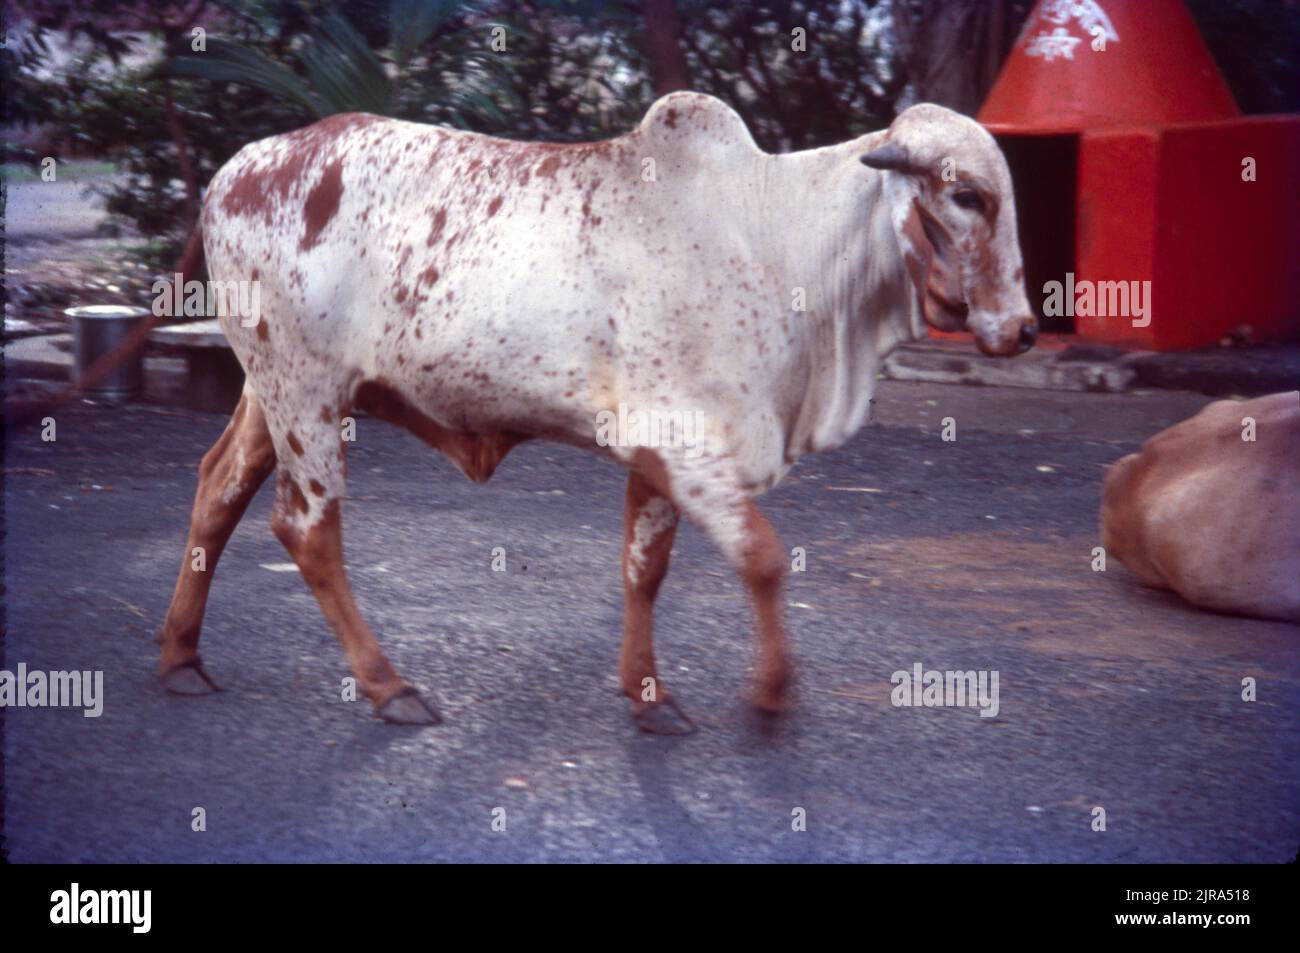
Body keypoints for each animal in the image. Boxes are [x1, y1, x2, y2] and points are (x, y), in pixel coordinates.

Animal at [159, 91, 1034, 728]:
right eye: (966, 196)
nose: (1024, 328)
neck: (778, 240)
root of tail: (239, 167)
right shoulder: (686, 446)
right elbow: (762, 557)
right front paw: (771, 691)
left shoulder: (662, 455)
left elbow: (645, 569)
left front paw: (647, 693)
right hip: (305, 394)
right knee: (306, 529)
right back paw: (387, 684)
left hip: (272, 391)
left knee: (216, 490)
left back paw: (181, 658)